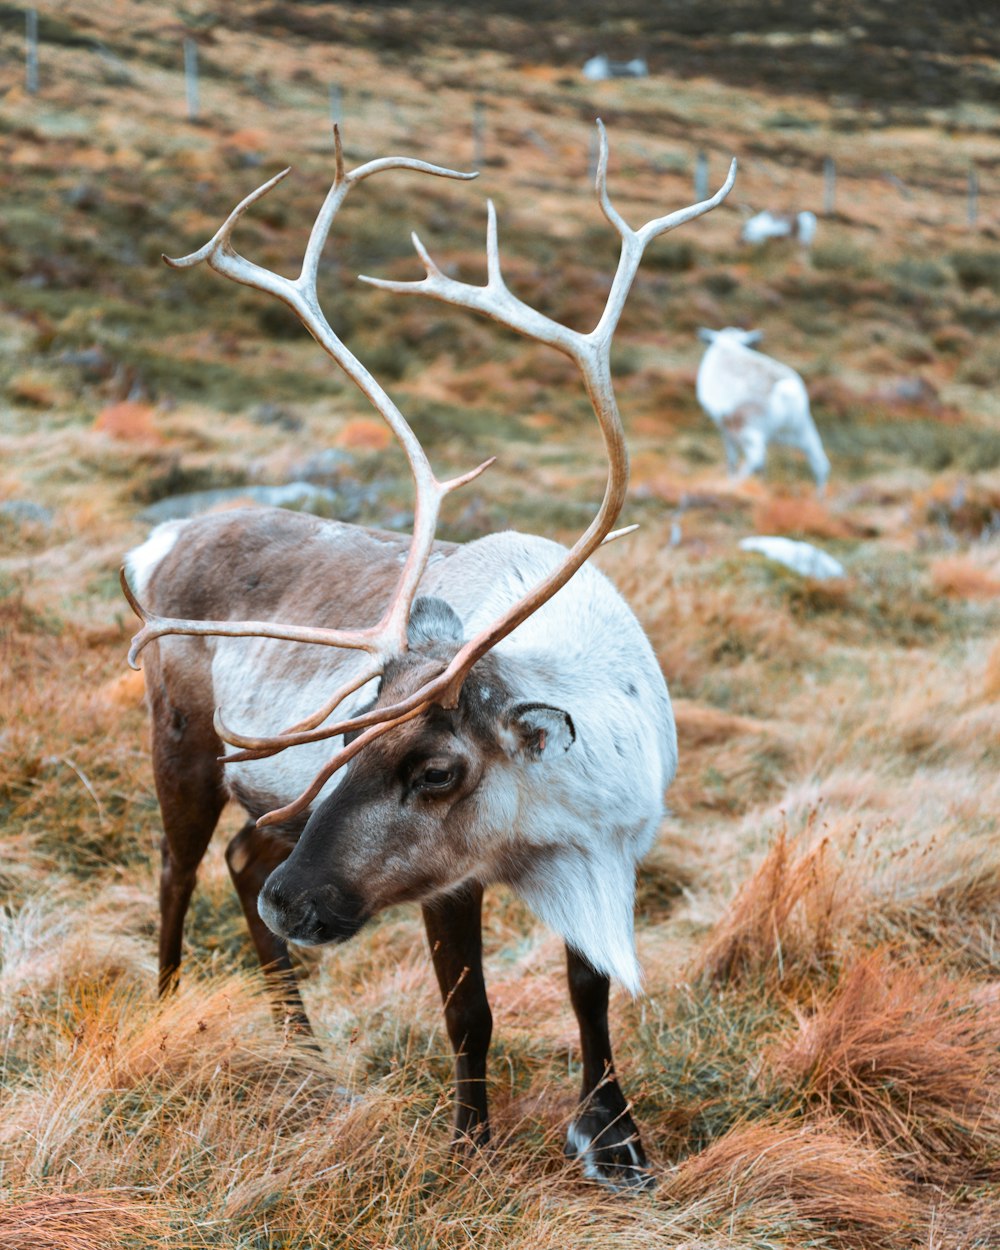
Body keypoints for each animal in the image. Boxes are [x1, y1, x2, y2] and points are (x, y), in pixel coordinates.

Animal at [695, 325, 830, 490]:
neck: (728, 346)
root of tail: (786, 389)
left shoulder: (725, 427)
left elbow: (732, 458)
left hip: (751, 427)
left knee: (756, 458)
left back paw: (735, 484)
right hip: (800, 428)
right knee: (819, 462)